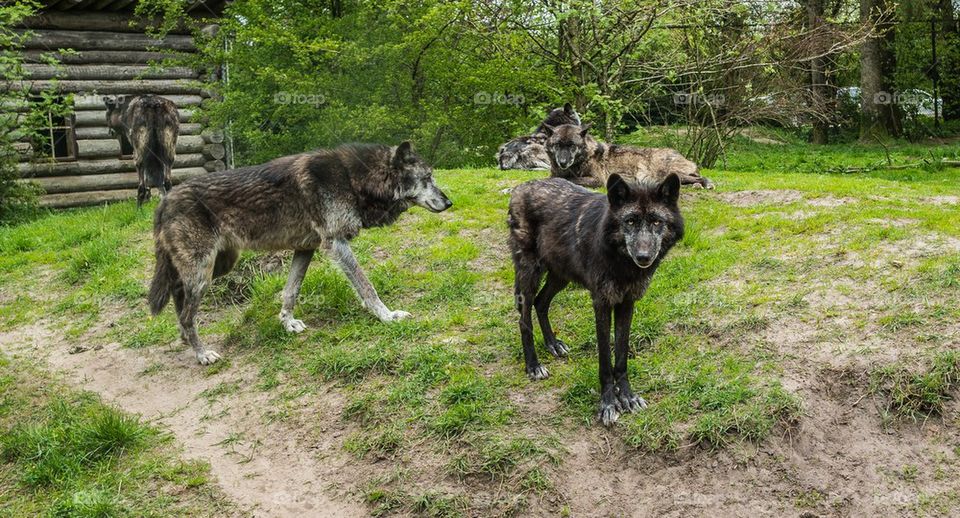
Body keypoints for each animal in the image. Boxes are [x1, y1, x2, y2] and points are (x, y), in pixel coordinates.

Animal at [148, 142, 452, 365]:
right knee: (187, 313)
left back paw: (185, 339)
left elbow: (291, 290)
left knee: (178, 295)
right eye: (427, 178)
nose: (449, 202)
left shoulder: (306, 248)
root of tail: (163, 202)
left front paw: (287, 323)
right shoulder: (336, 243)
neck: (353, 179)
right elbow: (366, 287)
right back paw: (201, 354)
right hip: (204, 272)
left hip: (218, 266)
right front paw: (387, 316)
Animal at [508, 173, 684, 425]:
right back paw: (533, 365)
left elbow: (621, 356)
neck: (622, 264)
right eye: (630, 221)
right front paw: (608, 404)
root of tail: (520, 187)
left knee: (542, 303)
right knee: (524, 318)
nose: (643, 257)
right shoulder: (601, 303)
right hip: (529, 275)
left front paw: (627, 397)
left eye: (656, 222)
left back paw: (553, 344)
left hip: (560, 277)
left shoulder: (627, 303)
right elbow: (605, 361)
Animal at [543, 123, 713, 190]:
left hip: (666, 174)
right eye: (558, 145)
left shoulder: (597, 180)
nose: (563, 162)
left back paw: (705, 184)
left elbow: (570, 179)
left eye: (572, 146)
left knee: (699, 177)